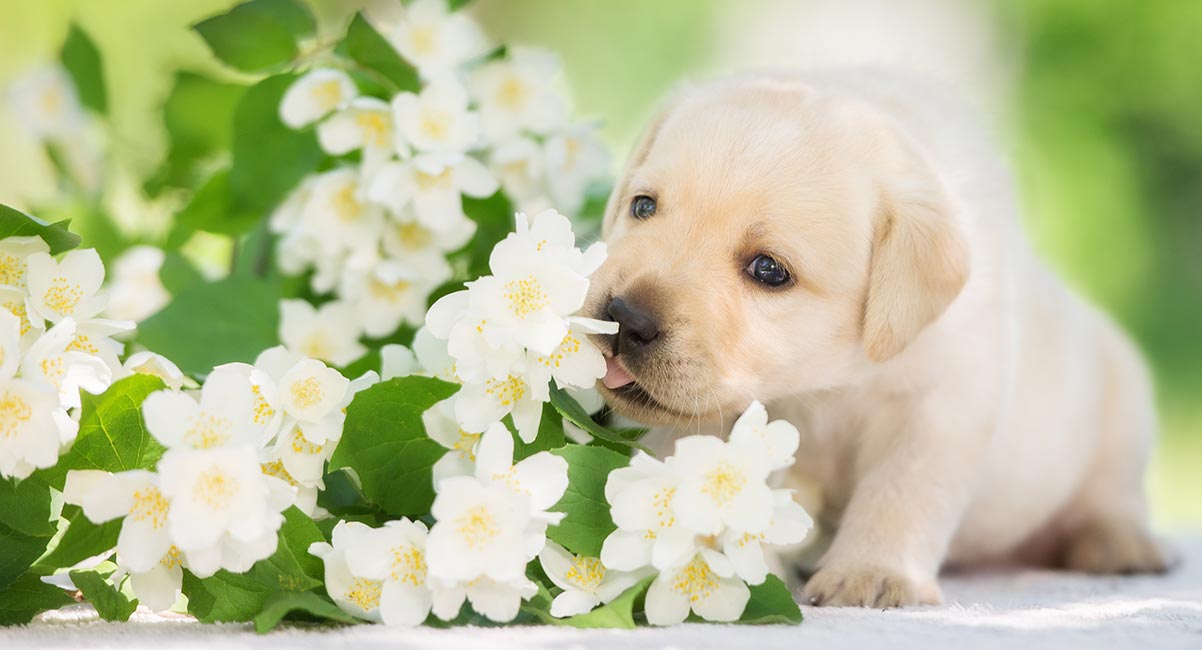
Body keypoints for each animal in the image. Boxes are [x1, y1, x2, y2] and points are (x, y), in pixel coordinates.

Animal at [591, 72, 1173, 607]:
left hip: (1122, 398)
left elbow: (900, 491)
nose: (624, 317)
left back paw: (1119, 543)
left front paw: (870, 574)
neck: (822, 384)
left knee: (1112, 493)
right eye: (643, 206)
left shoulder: (939, 405)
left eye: (768, 269)